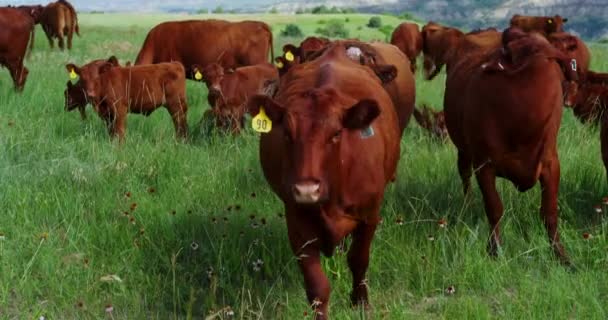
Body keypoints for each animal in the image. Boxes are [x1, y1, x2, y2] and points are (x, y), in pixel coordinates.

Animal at [245, 42, 402, 318]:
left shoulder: (369, 216)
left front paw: (361, 302)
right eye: (287, 134)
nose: (307, 190)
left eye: (336, 134)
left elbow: (359, 259)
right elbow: (317, 286)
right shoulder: (297, 224)